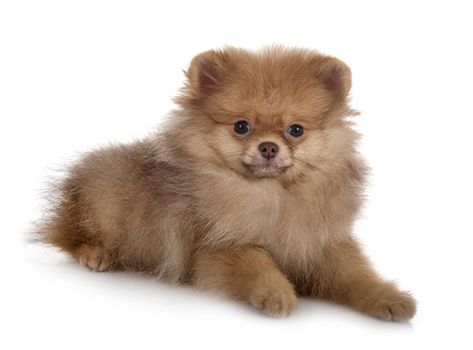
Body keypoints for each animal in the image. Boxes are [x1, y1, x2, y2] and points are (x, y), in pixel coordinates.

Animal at [37, 45, 414, 320]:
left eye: (296, 130)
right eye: (241, 126)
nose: (268, 147)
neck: (273, 196)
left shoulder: (322, 244)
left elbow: (357, 275)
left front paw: (389, 297)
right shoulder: (217, 247)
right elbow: (257, 260)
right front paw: (276, 293)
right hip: (105, 201)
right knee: (70, 234)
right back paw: (95, 253)